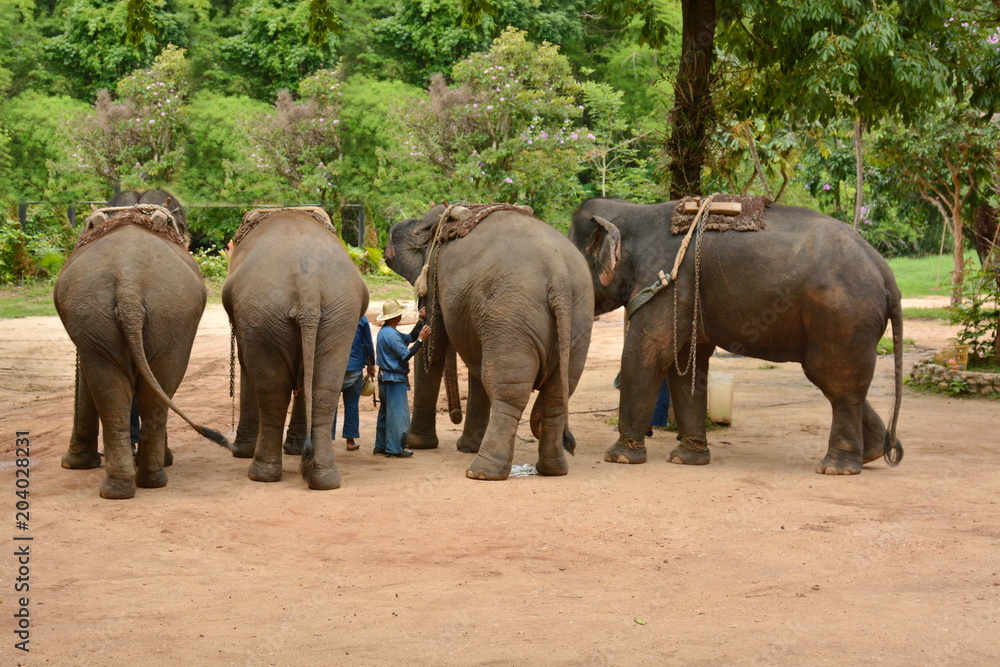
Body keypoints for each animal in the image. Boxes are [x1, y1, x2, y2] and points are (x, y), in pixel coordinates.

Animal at [54, 189, 228, 499]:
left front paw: (75, 464)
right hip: (163, 315)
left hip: (157, 314)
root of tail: (129, 286)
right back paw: (141, 480)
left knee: (124, 387)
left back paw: (132, 483)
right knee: (149, 388)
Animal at [222, 207, 367, 490]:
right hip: (337, 315)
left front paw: (242, 451)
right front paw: (297, 451)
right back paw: (323, 479)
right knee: (323, 388)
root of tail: (308, 286)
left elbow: (247, 365)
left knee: (272, 389)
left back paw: (259, 474)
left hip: (263, 315)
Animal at [385, 203, 594, 480]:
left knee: (507, 389)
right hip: (577, 320)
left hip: (512, 315)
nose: (454, 415)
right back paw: (553, 470)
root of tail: (559, 276)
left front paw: (417, 443)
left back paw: (481, 473)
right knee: (558, 391)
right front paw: (466, 446)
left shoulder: (434, 275)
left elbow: (434, 348)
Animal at [569, 197, 903, 475]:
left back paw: (836, 468)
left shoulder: (667, 281)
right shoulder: (686, 293)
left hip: (842, 314)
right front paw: (686, 460)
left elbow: (649, 353)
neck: (634, 211)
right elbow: (686, 364)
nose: (571, 445)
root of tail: (885, 273)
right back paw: (873, 454)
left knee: (834, 381)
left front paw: (619, 458)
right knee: (841, 383)